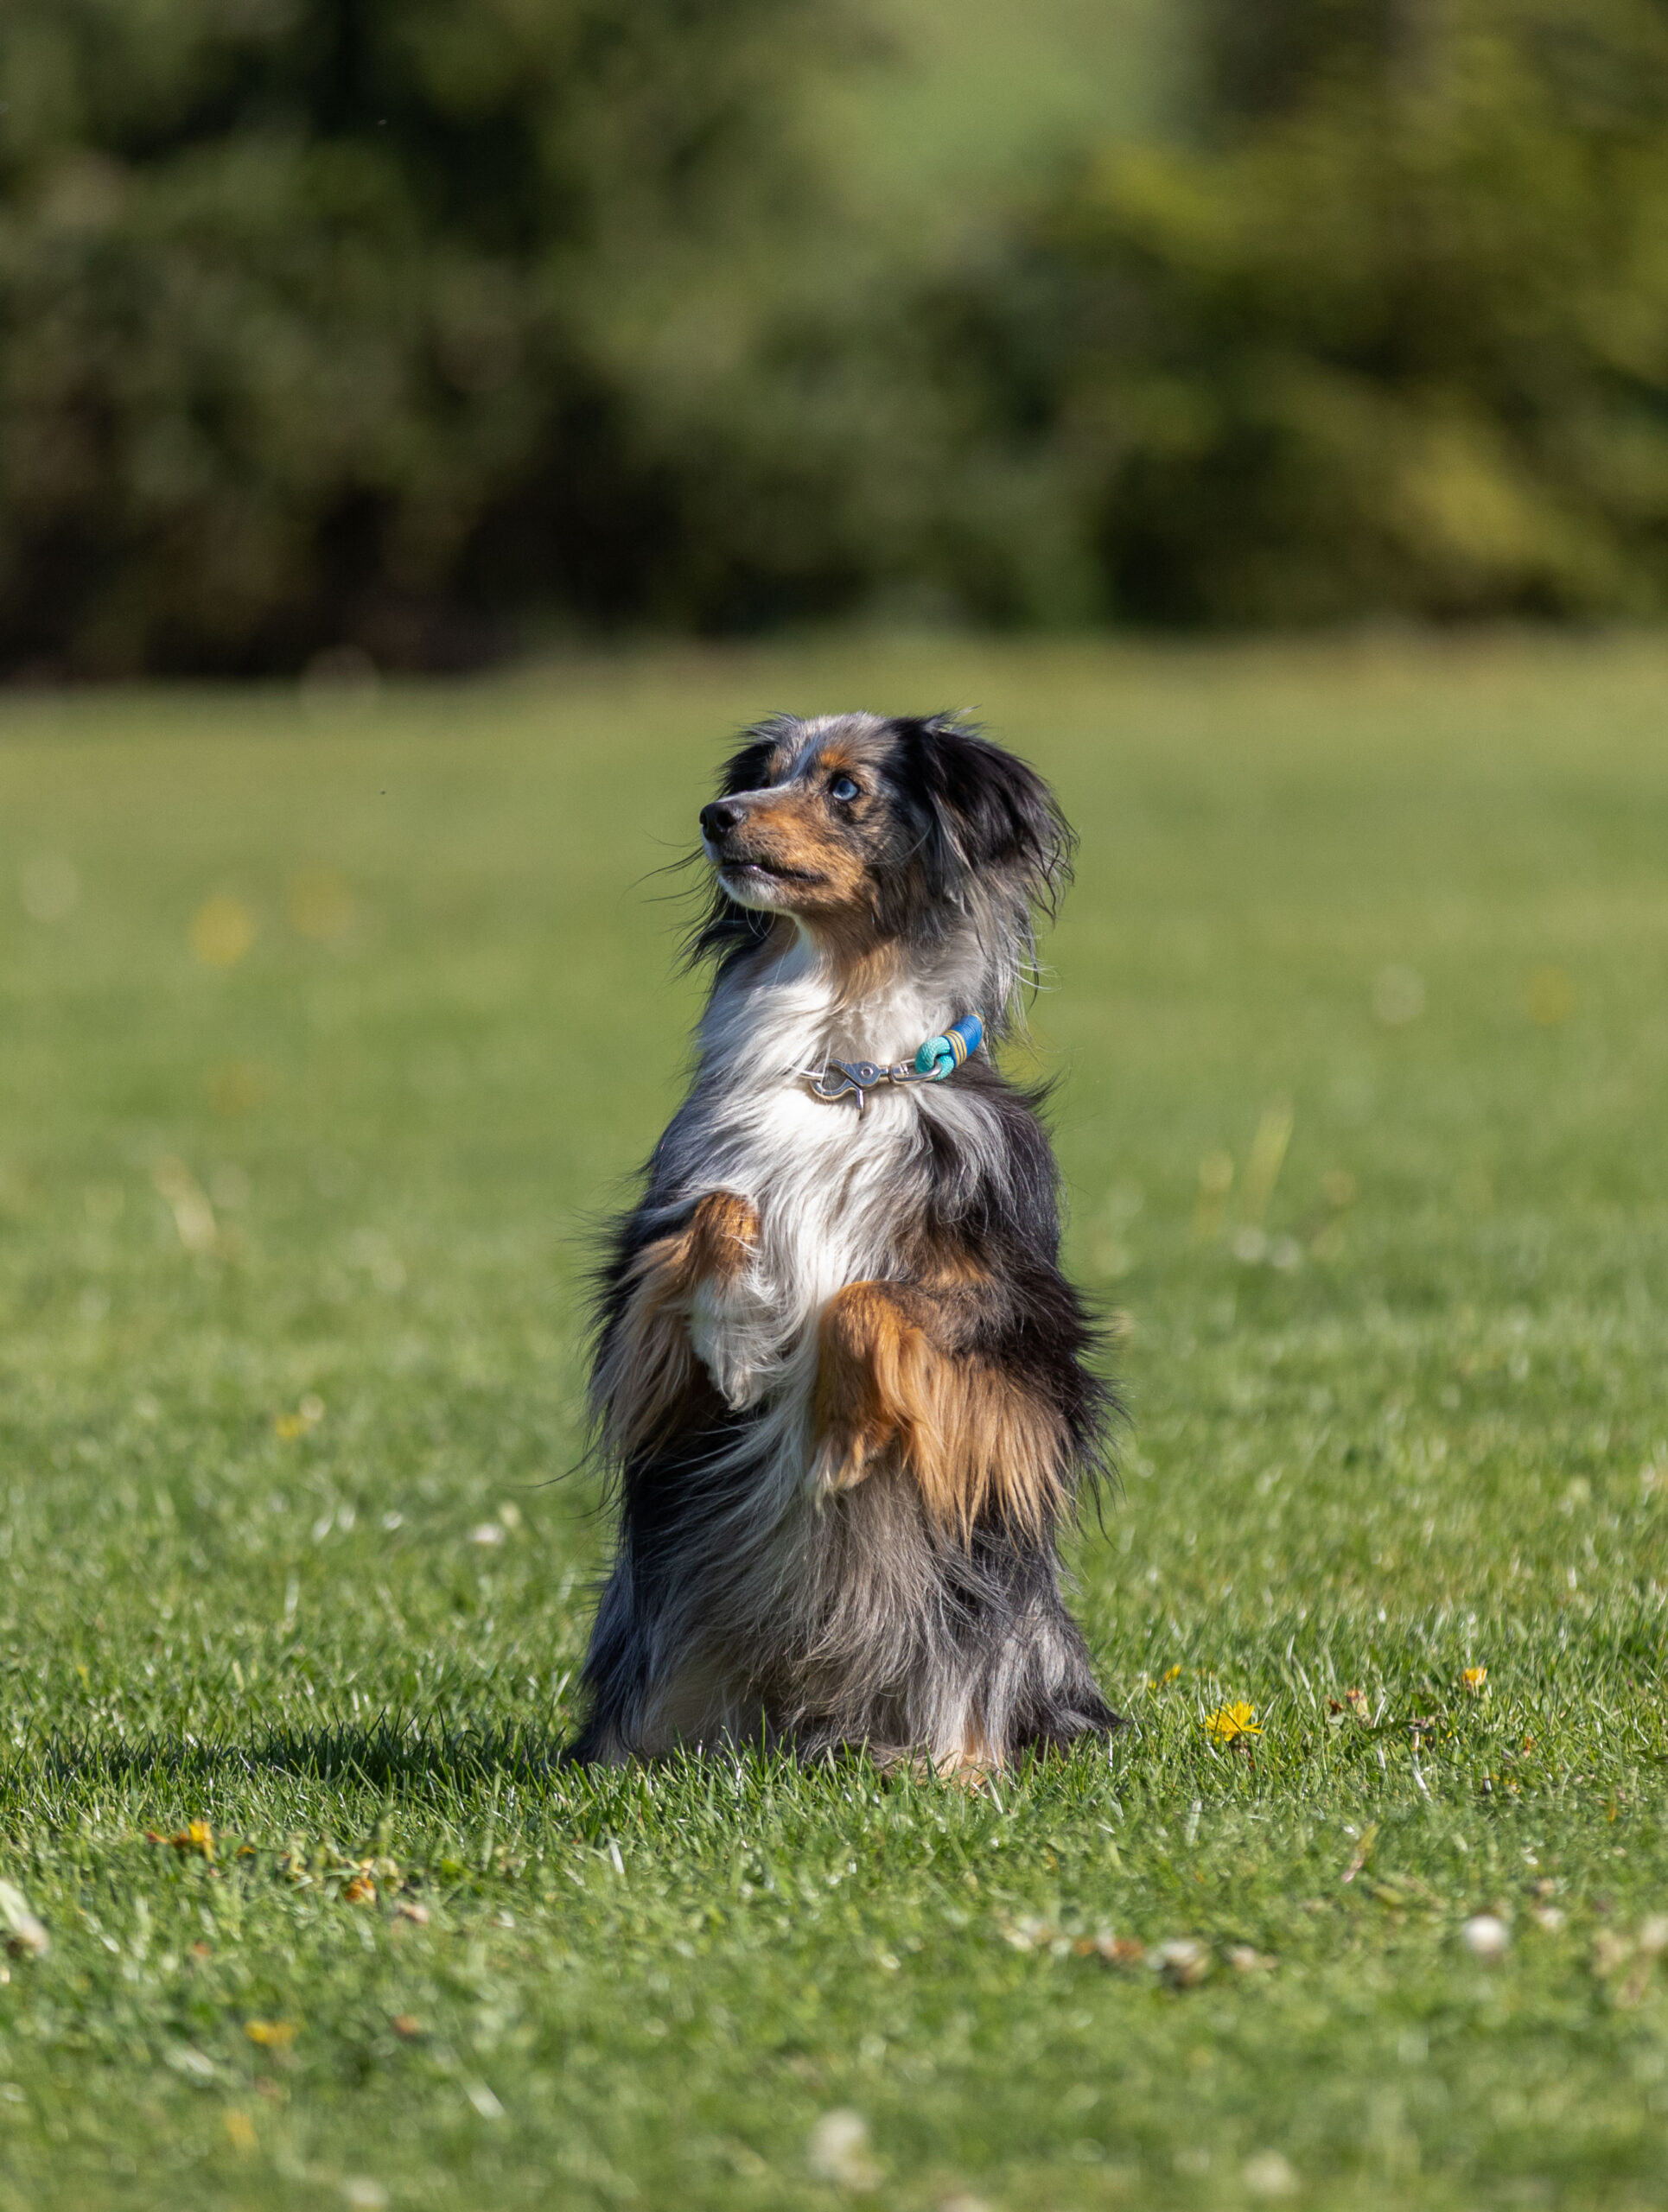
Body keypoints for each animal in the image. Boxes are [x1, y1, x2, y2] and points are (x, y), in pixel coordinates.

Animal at [570, 716, 1119, 1770]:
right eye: (766, 773)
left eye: (846, 789)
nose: (716, 815)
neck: (845, 1070)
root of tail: (826, 1727)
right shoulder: (647, 1307)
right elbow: (718, 1213)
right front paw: (740, 1340)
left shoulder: (1021, 1353)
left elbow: (864, 1302)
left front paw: (846, 1431)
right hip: (648, 1632)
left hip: (1011, 1629)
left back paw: (954, 1766)